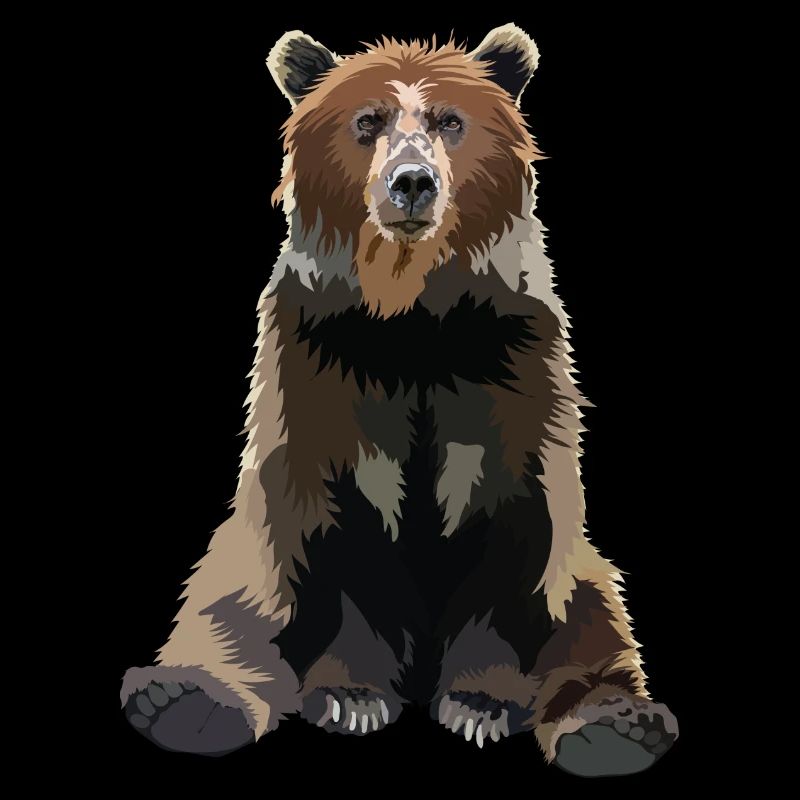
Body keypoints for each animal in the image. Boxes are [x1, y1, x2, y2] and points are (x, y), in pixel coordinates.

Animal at [121, 24, 679, 775]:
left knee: (593, 613)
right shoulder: (321, 373)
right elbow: (340, 537)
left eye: (450, 121)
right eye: (367, 122)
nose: (412, 182)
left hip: (581, 579)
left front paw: (479, 704)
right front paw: (351, 698)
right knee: (230, 603)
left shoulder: (510, 375)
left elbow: (510, 535)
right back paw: (183, 702)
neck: (410, 316)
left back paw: (615, 727)